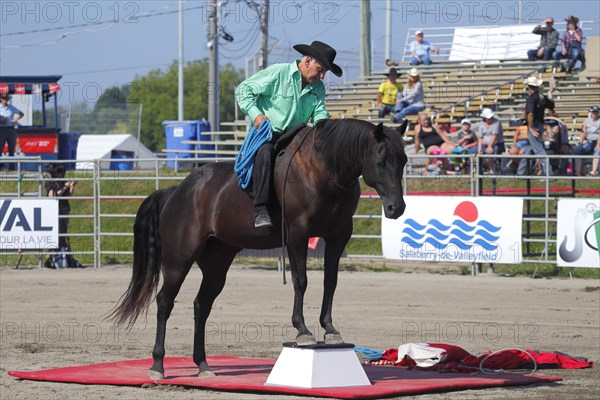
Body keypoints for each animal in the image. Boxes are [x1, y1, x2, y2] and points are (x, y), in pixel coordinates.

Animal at [110, 118, 410, 378]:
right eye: (381, 161)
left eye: (404, 161)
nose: (396, 208)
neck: (322, 171)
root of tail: (177, 191)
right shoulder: (298, 235)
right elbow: (301, 280)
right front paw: (303, 330)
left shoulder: (337, 237)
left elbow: (331, 282)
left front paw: (330, 329)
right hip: (178, 260)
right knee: (164, 302)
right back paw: (158, 365)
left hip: (216, 264)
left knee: (201, 305)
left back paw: (203, 364)